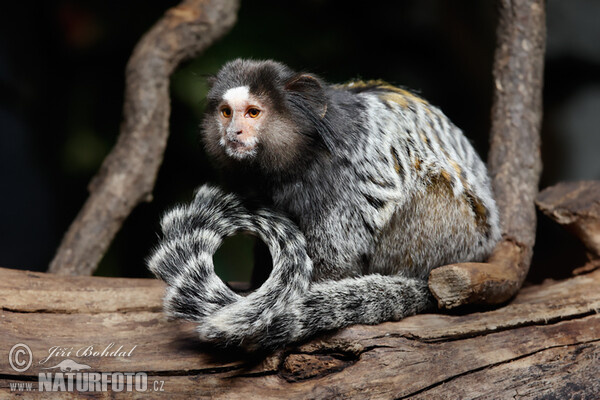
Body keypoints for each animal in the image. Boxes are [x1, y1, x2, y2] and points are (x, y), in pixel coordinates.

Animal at [146, 58, 502, 350]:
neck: (302, 152)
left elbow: (336, 253)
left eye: (252, 112)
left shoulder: (340, 180)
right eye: (225, 112)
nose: (233, 132)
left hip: (450, 229)